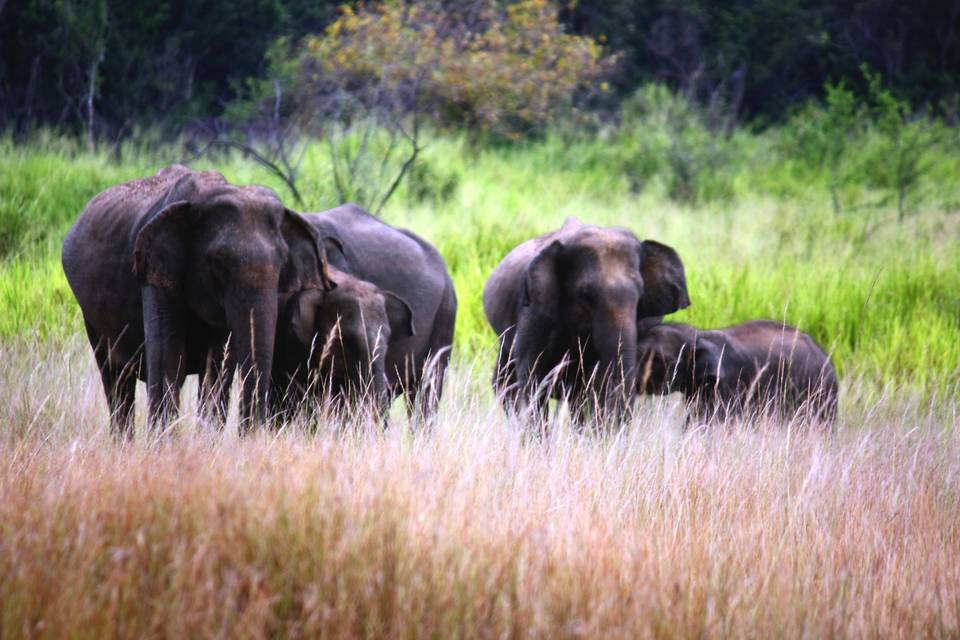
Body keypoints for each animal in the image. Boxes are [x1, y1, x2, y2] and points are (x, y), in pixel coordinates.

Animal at [62, 164, 334, 436]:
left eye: (283, 261)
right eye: (218, 262)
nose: (251, 434)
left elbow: (218, 363)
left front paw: (206, 438)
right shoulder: (155, 272)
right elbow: (168, 355)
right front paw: (164, 442)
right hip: (90, 315)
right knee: (115, 376)